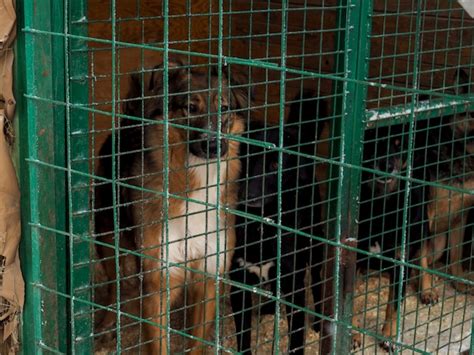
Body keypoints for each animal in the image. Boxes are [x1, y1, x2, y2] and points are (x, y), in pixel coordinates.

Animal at [92, 58, 248, 354]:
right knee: (116, 285)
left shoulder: (210, 274)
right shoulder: (158, 282)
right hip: (107, 238)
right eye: (191, 108)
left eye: (224, 108)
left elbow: (198, 341)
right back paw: (107, 325)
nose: (214, 146)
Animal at [229, 92, 326, 355]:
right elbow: (243, 335)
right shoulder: (238, 284)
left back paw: (320, 322)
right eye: (246, 159)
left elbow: (296, 336)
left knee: (318, 284)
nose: (248, 196)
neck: (263, 225)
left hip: (315, 250)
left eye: (275, 165)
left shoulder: (294, 284)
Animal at [354, 124, 432, 352]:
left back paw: (428, 290)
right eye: (374, 142)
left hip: (422, 221)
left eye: (399, 144)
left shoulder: (399, 265)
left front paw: (388, 337)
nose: (386, 165)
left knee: (424, 254)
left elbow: (393, 305)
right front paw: (353, 335)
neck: (382, 205)